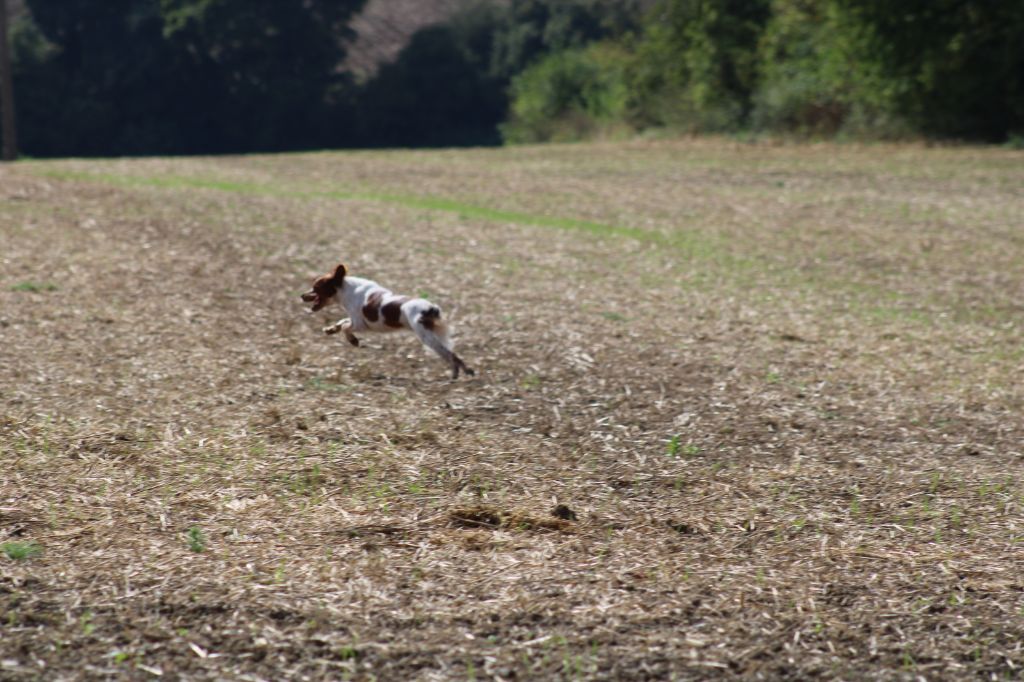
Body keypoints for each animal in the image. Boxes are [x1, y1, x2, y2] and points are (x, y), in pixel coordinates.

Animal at [296, 260, 471, 376]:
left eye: (316, 287)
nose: (302, 295)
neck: (345, 290)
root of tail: (431, 308)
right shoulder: (355, 320)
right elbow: (342, 322)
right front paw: (330, 329)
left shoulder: (361, 324)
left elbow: (346, 326)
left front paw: (354, 341)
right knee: (451, 354)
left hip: (427, 337)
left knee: (451, 355)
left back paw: (461, 372)